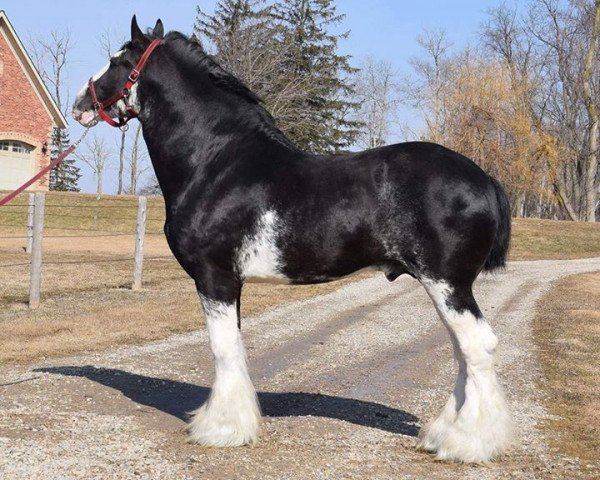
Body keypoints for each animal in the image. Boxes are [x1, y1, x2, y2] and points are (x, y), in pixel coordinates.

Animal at [70, 16, 510, 464]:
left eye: (117, 61)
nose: (79, 103)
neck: (215, 162)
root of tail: (485, 180)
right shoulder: (231, 282)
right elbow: (234, 347)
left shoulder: (215, 278)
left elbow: (223, 349)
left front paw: (220, 428)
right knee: (463, 352)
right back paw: (445, 434)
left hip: (448, 284)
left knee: (477, 347)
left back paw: (465, 442)